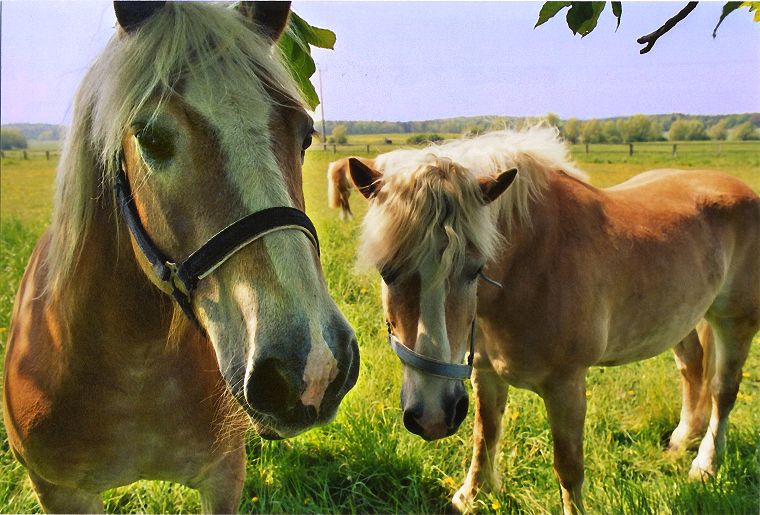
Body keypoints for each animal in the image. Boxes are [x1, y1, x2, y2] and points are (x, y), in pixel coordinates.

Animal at [2, 2, 360, 512]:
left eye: (306, 134)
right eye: (151, 138)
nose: (313, 364)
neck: (136, 367)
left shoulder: (223, 477)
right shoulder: (60, 492)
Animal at [348, 126, 760, 515]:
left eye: (476, 269)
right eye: (386, 271)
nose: (433, 416)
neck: (533, 261)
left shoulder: (566, 385)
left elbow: (568, 467)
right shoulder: (486, 373)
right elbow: (486, 435)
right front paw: (471, 497)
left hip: (734, 322)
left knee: (723, 391)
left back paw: (705, 465)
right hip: (682, 319)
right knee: (692, 369)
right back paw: (681, 440)